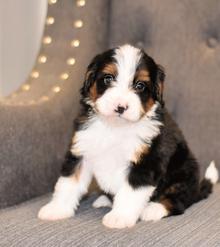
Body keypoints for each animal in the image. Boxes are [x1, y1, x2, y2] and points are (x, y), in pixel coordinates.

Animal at [37, 44, 218, 228]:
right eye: (108, 79)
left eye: (140, 85)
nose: (120, 107)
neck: (115, 128)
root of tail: (197, 189)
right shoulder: (81, 150)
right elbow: (68, 182)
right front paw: (57, 209)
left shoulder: (146, 162)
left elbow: (131, 192)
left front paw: (119, 217)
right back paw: (104, 200)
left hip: (184, 172)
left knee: (178, 201)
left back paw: (153, 209)